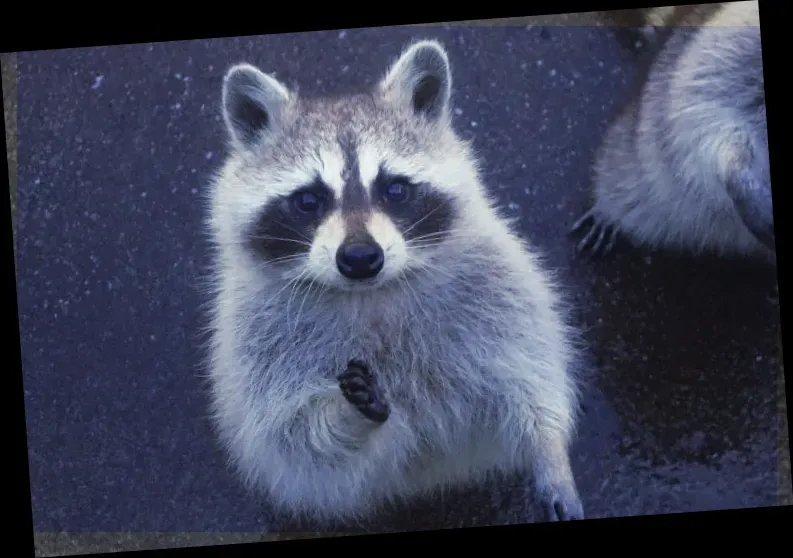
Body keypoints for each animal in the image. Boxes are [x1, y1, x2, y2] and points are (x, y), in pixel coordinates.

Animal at [203, 41, 588, 528]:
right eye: (309, 200)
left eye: (395, 189)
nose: (360, 258)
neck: (369, 294)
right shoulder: (257, 345)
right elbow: (295, 437)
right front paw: (345, 416)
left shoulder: (499, 287)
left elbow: (532, 373)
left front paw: (551, 452)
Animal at [568, 1, 772, 264]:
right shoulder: (724, 57)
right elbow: (708, 121)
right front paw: (741, 177)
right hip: (632, 153)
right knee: (622, 181)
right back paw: (608, 211)